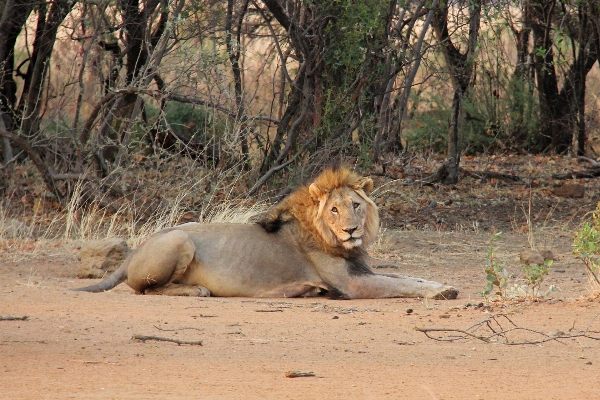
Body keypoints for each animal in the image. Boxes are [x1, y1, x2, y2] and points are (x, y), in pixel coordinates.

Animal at [74, 166, 460, 300]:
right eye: (334, 210)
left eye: (355, 205)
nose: (351, 229)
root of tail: (135, 252)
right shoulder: (351, 284)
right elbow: (401, 285)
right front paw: (441, 293)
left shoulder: (361, 271)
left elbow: (408, 277)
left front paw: (444, 285)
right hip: (179, 239)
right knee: (146, 289)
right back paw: (197, 290)